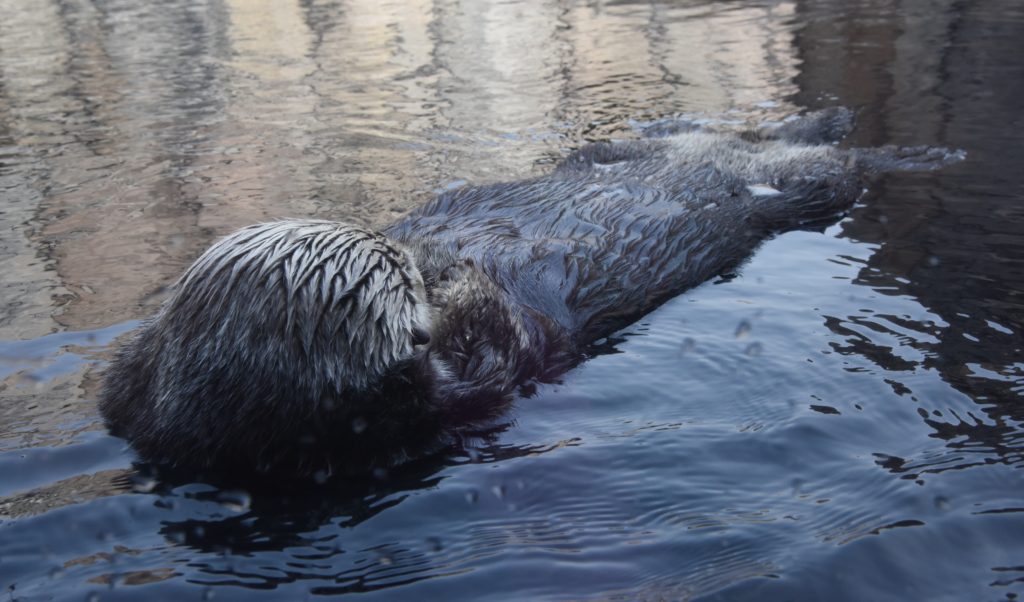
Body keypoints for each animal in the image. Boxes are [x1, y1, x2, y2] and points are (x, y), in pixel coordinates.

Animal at [96, 106, 958, 475]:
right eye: (398, 283)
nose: (414, 256)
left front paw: (441, 246)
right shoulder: (465, 392)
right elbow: (494, 338)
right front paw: (456, 274)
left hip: (624, 146)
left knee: (706, 132)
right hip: (799, 188)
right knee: (829, 163)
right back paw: (912, 151)